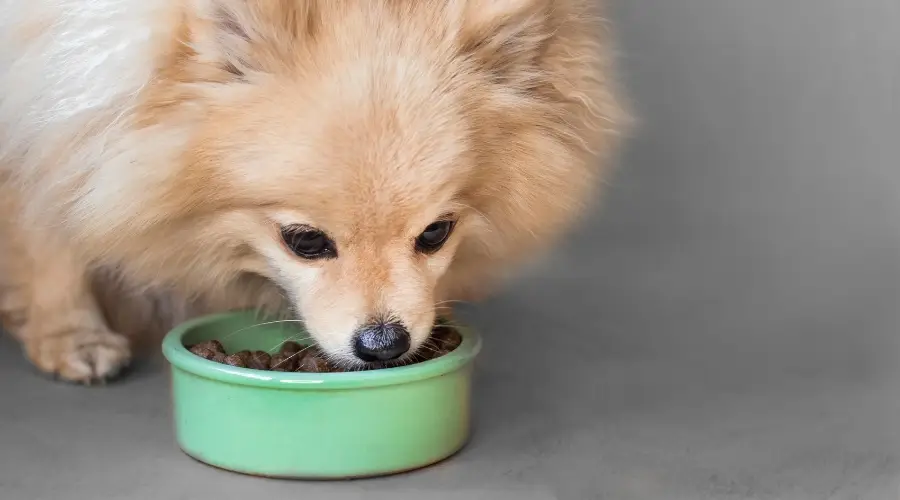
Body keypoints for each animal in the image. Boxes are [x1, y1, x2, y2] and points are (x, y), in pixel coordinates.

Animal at [0, 0, 628, 382]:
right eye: (304, 242)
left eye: (435, 234)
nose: (383, 343)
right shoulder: (38, 98)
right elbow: (43, 224)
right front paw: (71, 333)